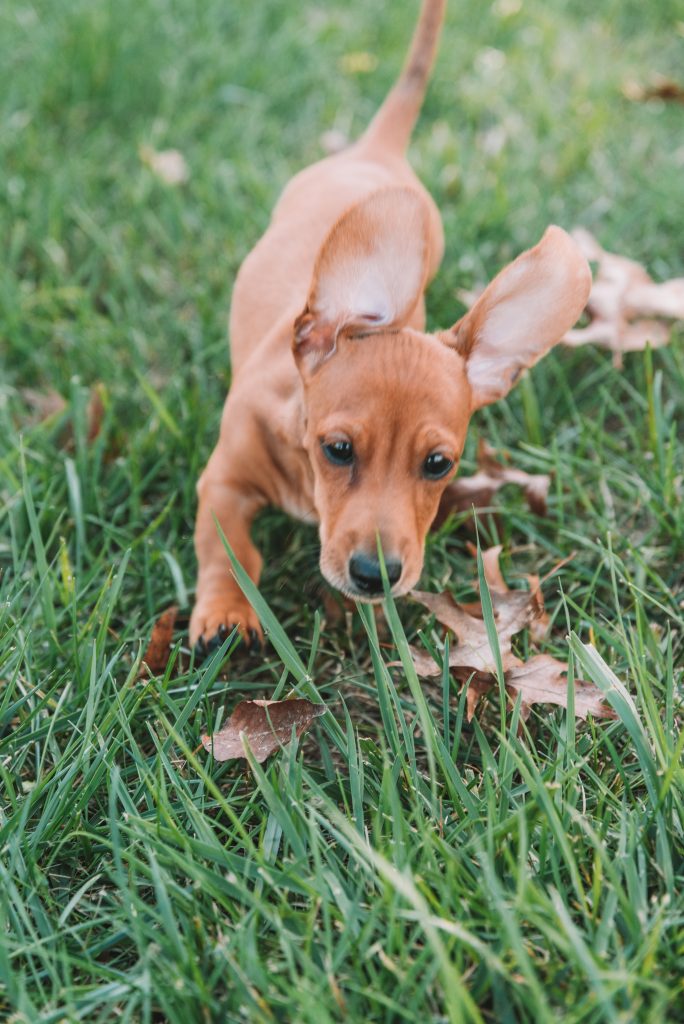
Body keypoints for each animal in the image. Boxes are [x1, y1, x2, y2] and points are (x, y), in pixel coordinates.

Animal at [189, 0, 589, 655]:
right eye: (338, 449)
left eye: (438, 464)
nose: (376, 577)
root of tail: (376, 151)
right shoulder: (222, 483)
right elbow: (230, 552)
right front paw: (227, 612)